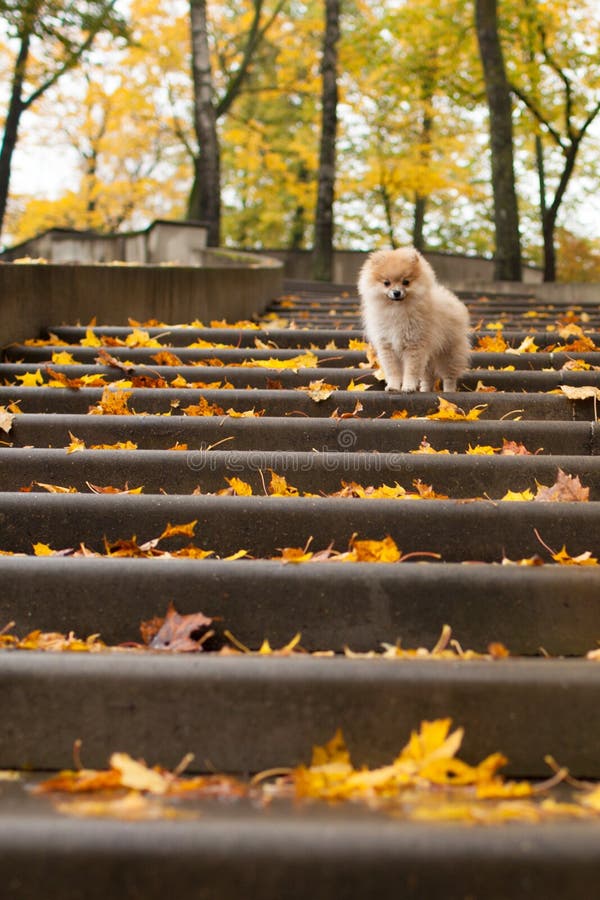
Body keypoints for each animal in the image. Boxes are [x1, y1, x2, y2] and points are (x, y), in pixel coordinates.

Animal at [356, 246, 468, 390]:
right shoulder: (387, 346)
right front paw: (393, 386)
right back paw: (425, 390)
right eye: (386, 283)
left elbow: (411, 370)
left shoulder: (415, 345)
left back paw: (449, 391)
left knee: (449, 376)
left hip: (449, 353)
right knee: (428, 377)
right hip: (430, 356)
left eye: (406, 282)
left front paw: (408, 387)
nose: (396, 292)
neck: (396, 310)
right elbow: (393, 371)